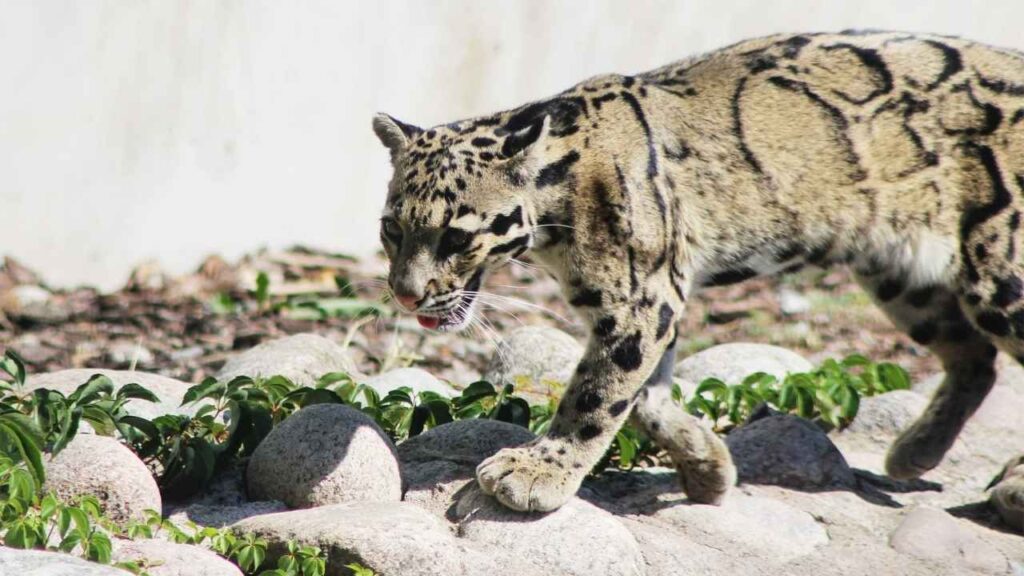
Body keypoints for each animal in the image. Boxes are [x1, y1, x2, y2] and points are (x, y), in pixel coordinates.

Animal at [372, 30, 1024, 516]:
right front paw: (709, 466)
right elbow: (645, 398)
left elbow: (598, 394)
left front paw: (538, 471)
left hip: (1002, 272)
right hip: (901, 274)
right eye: (392, 229)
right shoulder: (650, 302)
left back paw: (1008, 485)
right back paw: (917, 451)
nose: (405, 296)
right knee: (974, 356)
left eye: (457, 237)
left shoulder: (642, 299)